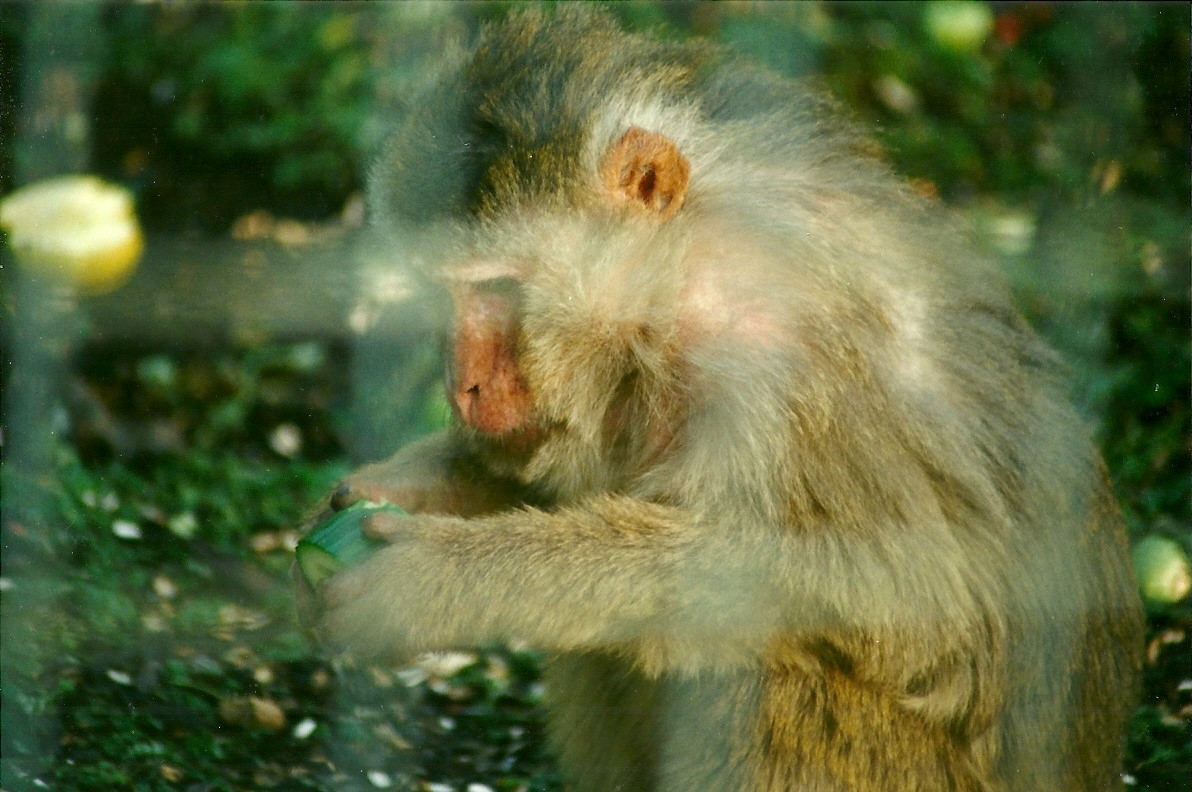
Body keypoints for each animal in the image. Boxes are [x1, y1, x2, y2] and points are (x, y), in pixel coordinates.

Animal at [298, 8, 1144, 792]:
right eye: (438, 295)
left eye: (501, 288)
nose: (462, 385)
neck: (680, 282)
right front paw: (401, 486)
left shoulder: (779, 363)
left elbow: (923, 600)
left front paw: (448, 580)